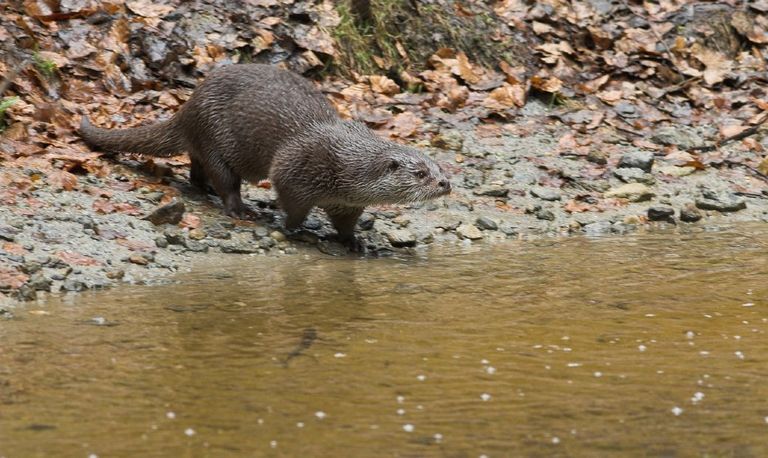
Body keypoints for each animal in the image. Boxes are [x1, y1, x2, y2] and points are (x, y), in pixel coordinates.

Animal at [79, 65, 450, 243]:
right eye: (421, 174)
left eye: (440, 168)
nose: (445, 184)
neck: (346, 167)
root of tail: (189, 107)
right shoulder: (295, 170)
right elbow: (292, 204)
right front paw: (294, 228)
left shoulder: (346, 203)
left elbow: (345, 223)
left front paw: (354, 242)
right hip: (215, 136)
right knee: (224, 178)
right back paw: (240, 208)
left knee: (197, 165)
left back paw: (203, 187)